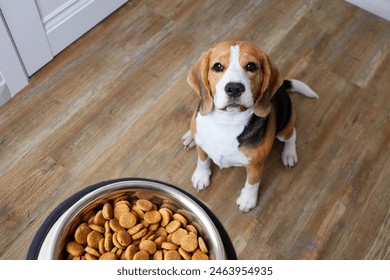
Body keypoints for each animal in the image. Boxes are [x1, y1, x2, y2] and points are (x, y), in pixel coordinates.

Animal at [183, 41, 316, 212]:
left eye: (251, 66)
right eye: (217, 66)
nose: (234, 88)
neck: (227, 122)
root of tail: (282, 88)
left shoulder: (256, 165)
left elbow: (252, 182)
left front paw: (247, 200)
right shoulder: (202, 144)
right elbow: (202, 159)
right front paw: (201, 176)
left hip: (284, 128)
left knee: (292, 134)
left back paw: (289, 154)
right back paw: (189, 137)